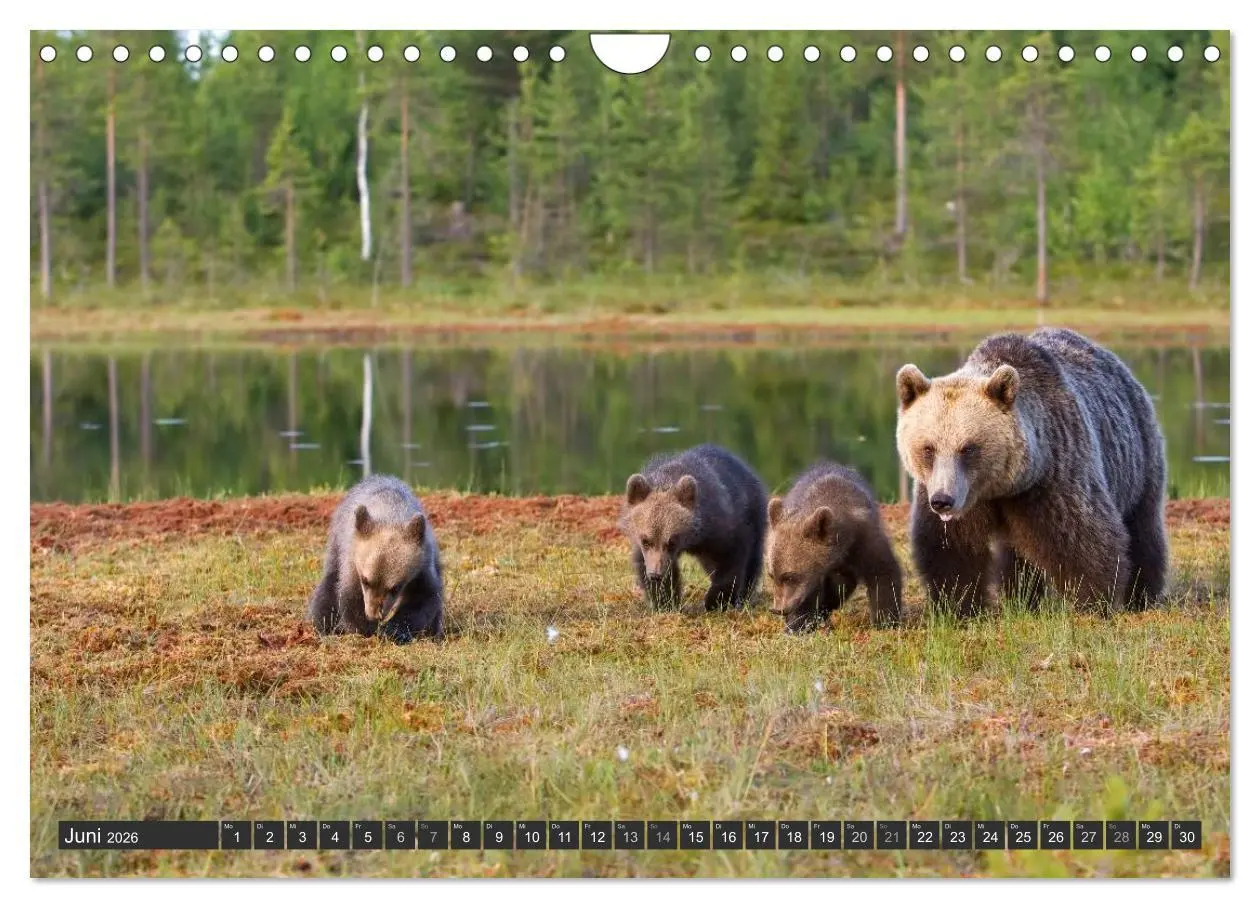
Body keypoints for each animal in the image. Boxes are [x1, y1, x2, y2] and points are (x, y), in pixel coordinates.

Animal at [307, 474, 445, 642]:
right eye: (365, 581)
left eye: (395, 587)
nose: (373, 615)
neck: (391, 515)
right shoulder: (352, 561)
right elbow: (349, 597)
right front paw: (368, 629)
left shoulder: (423, 566)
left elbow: (423, 600)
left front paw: (394, 629)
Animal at [619, 443, 768, 613]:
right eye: (646, 540)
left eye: (671, 541)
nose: (655, 574)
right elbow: (645, 563)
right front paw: (665, 601)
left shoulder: (722, 526)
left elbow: (732, 558)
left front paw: (717, 600)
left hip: (754, 510)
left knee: (753, 559)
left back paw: (745, 597)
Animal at [765, 462, 903, 633]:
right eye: (772, 575)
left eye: (790, 576)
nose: (778, 609)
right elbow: (810, 596)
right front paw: (796, 625)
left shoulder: (864, 540)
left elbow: (883, 573)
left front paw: (885, 622)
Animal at [895, 326, 1168, 617]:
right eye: (928, 448)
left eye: (968, 448)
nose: (943, 501)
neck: (1000, 487)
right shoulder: (955, 496)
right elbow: (951, 548)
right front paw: (959, 606)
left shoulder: (1052, 476)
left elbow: (1082, 539)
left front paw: (1093, 602)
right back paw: (1022, 599)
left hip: (1138, 457)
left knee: (1143, 528)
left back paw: (1142, 595)